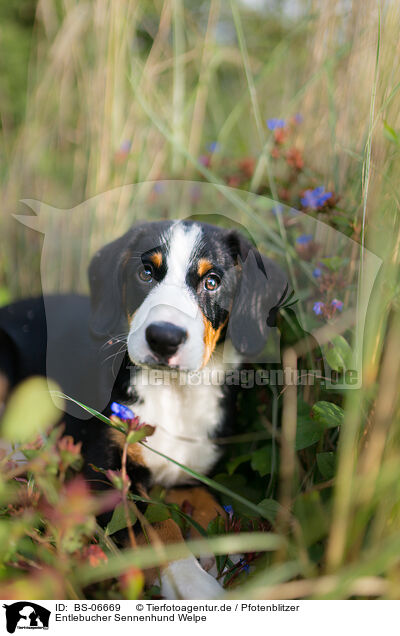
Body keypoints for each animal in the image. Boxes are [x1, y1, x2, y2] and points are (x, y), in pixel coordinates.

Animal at [0, 219, 288, 596]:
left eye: (212, 281)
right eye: (145, 272)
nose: (164, 337)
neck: (175, 393)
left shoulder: (190, 474)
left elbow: (214, 507)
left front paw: (233, 556)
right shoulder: (104, 472)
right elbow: (158, 528)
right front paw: (192, 582)